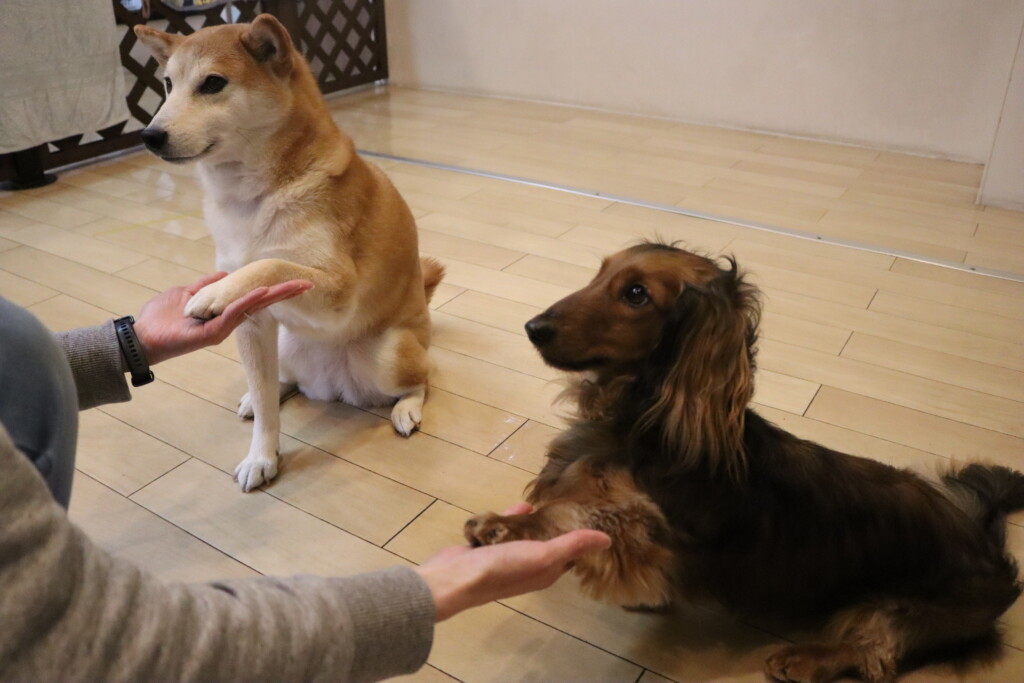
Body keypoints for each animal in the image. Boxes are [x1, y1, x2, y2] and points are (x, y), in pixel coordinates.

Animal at [135, 15, 444, 491]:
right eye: (168, 85)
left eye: (213, 83)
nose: (149, 135)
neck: (253, 198)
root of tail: (335, 385)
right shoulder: (253, 322)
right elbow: (266, 410)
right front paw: (262, 457)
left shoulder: (338, 291)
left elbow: (270, 262)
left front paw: (214, 293)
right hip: (285, 342)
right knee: (276, 382)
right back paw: (263, 393)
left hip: (389, 354)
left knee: (422, 379)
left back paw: (406, 407)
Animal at [464, 242, 1024, 683]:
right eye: (599, 274)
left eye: (637, 294)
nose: (533, 327)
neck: (640, 416)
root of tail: (988, 546)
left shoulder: (641, 524)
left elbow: (575, 512)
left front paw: (506, 528)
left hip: (906, 607)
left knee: (875, 651)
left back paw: (802, 659)